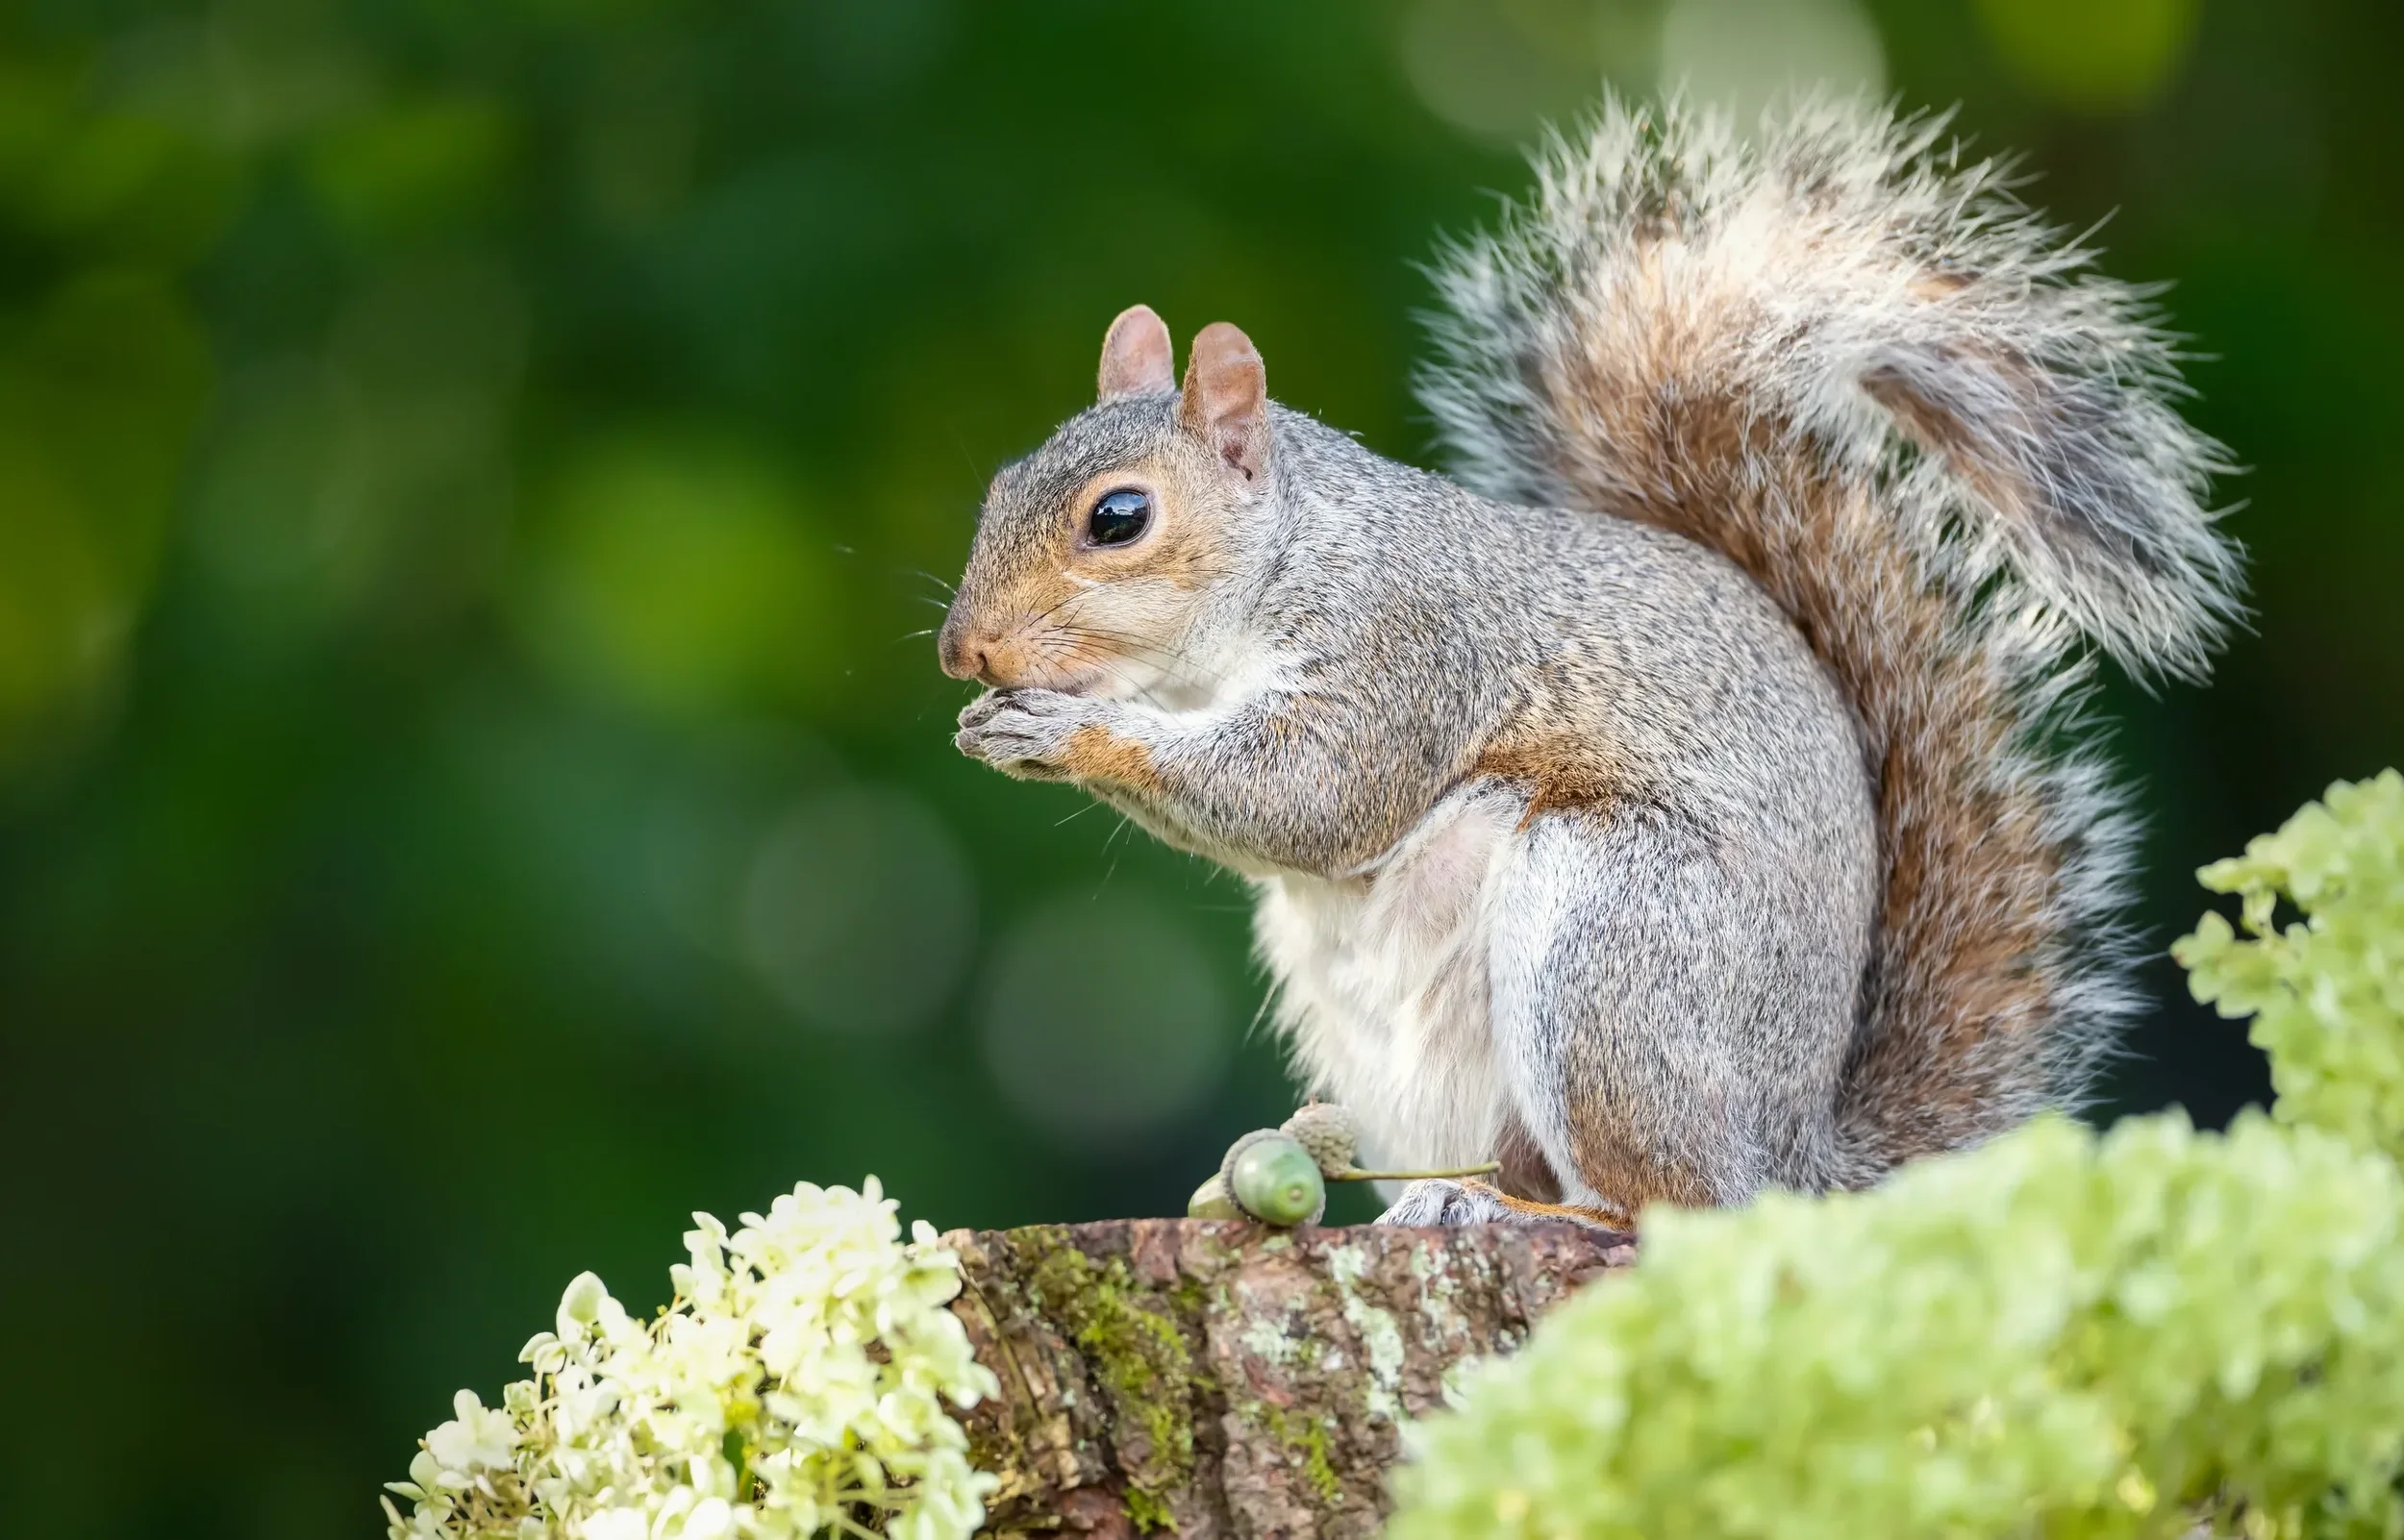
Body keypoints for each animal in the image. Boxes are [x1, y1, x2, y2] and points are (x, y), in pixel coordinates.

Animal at [936, 97, 2241, 1230]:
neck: (1280, 567)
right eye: (998, 483)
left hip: (1616, 942)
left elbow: (1315, 797)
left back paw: (1509, 1209)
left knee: (1660, 1207)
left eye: (1119, 518)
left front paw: (1064, 735)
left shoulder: (1407, 649)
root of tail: (1790, 1161)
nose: (965, 650)